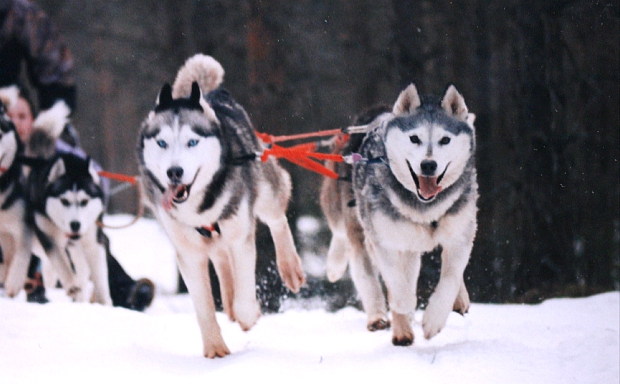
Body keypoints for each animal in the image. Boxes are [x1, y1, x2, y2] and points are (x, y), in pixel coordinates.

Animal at [139, 53, 306, 356]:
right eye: (162, 143)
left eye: (192, 142)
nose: (174, 172)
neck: (200, 206)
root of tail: (211, 95)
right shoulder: (189, 253)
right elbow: (203, 308)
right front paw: (215, 350)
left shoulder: (241, 237)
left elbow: (245, 297)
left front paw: (248, 316)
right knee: (220, 258)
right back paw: (227, 298)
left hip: (264, 190)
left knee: (276, 218)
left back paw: (289, 268)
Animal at [322, 83, 478, 344]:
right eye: (414, 138)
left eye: (445, 139)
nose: (428, 165)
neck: (425, 208)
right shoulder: (386, 242)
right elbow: (398, 284)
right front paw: (404, 306)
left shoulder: (460, 235)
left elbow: (451, 278)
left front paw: (434, 319)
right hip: (362, 228)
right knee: (365, 271)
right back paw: (383, 318)